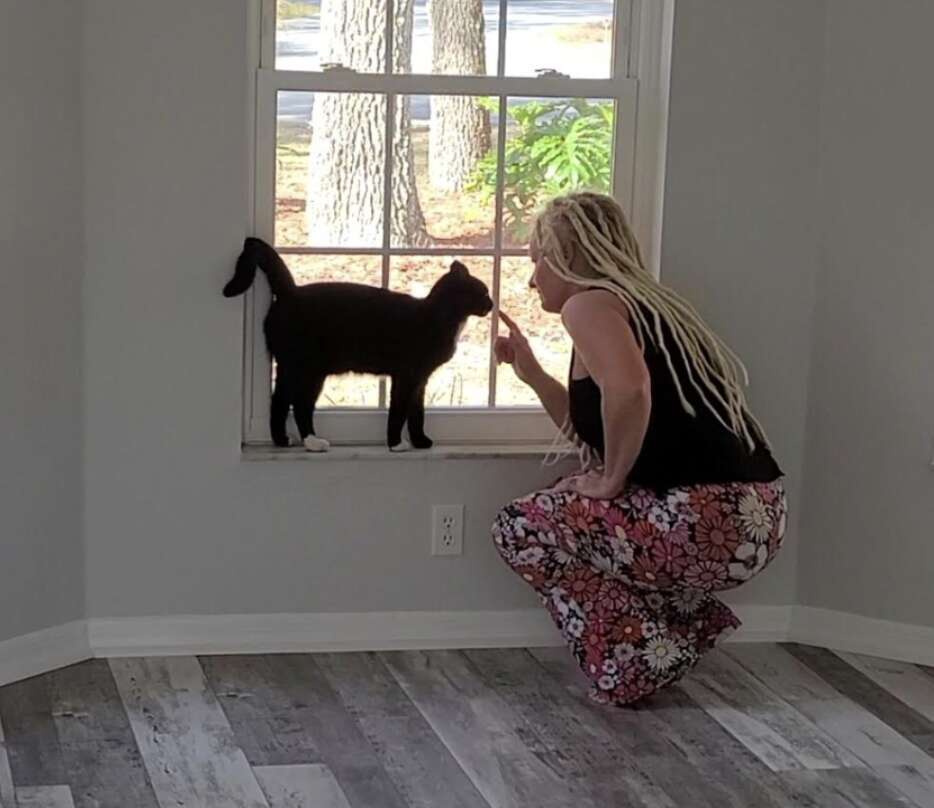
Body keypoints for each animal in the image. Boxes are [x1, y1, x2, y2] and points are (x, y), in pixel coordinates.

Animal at [226, 237, 494, 452]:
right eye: (483, 292)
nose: (492, 304)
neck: (441, 316)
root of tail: (290, 292)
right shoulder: (406, 376)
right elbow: (398, 410)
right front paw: (396, 444)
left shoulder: (420, 380)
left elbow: (417, 413)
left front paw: (420, 441)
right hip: (303, 366)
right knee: (292, 402)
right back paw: (303, 441)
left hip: (303, 369)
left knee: (289, 401)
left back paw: (295, 441)